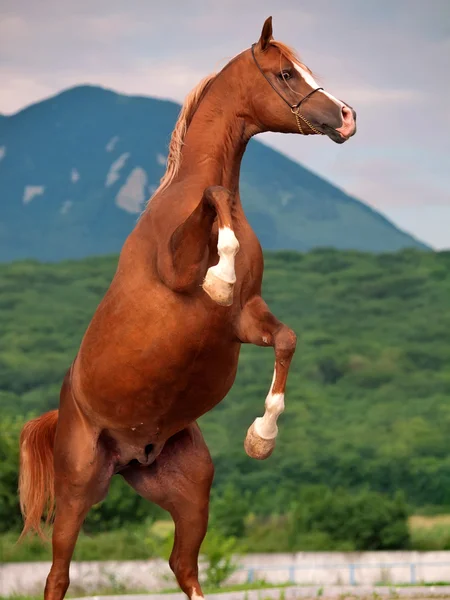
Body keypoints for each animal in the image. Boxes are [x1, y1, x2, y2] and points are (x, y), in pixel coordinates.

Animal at [19, 17, 356, 600]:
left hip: (190, 490)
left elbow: (286, 339)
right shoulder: (178, 273)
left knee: (184, 565)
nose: (346, 117)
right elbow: (214, 197)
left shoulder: (244, 320)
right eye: (286, 73)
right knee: (58, 574)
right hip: (77, 489)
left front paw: (261, 438)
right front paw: (218, 275)